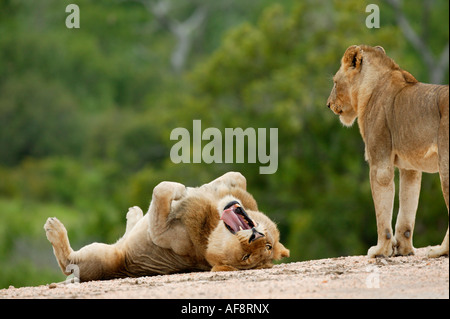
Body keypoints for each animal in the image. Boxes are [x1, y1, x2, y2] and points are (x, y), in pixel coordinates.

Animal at [44, 172, 288, 282]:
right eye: (268, 245)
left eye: (246, 258)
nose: (255, 237)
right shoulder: (235, 193)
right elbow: (237, 177)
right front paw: (199, 188)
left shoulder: (160, 233)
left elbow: (161, 189)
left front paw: (181, 190)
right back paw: (134, 212)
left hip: (107, 257)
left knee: (67, 262)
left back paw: (54, 228)